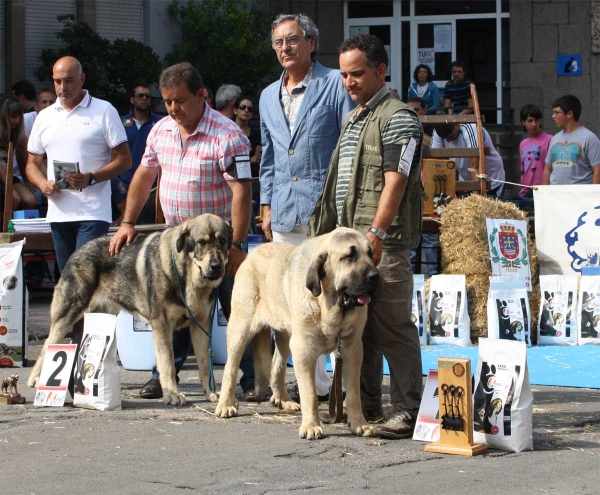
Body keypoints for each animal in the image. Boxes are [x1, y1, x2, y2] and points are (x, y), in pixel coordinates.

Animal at [27, 214, 232, 406]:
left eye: (222, 241)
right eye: (201, 242)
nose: (216, 266)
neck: (187, 274)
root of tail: (78, 251)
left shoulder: (201, 326)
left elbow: (204, 365)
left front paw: (210, 393)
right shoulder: (162, 326)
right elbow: (168, 364)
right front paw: (172, 394)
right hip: (69, 313)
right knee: (48, 344)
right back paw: (36, 379)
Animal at [217, 227, 380, 440]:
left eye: (370, 254)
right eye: (349, 256)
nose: (375, 276)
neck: (328, 305)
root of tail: (252, 253)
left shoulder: (352, 349)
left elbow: (353, 393)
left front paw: (359, 424)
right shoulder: (303, 350)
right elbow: (309, 393)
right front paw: (311, 426)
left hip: (285, 336)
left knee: (277, 365)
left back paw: (284, 400)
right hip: (241, 328)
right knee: (231, 367)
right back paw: (225, 405)